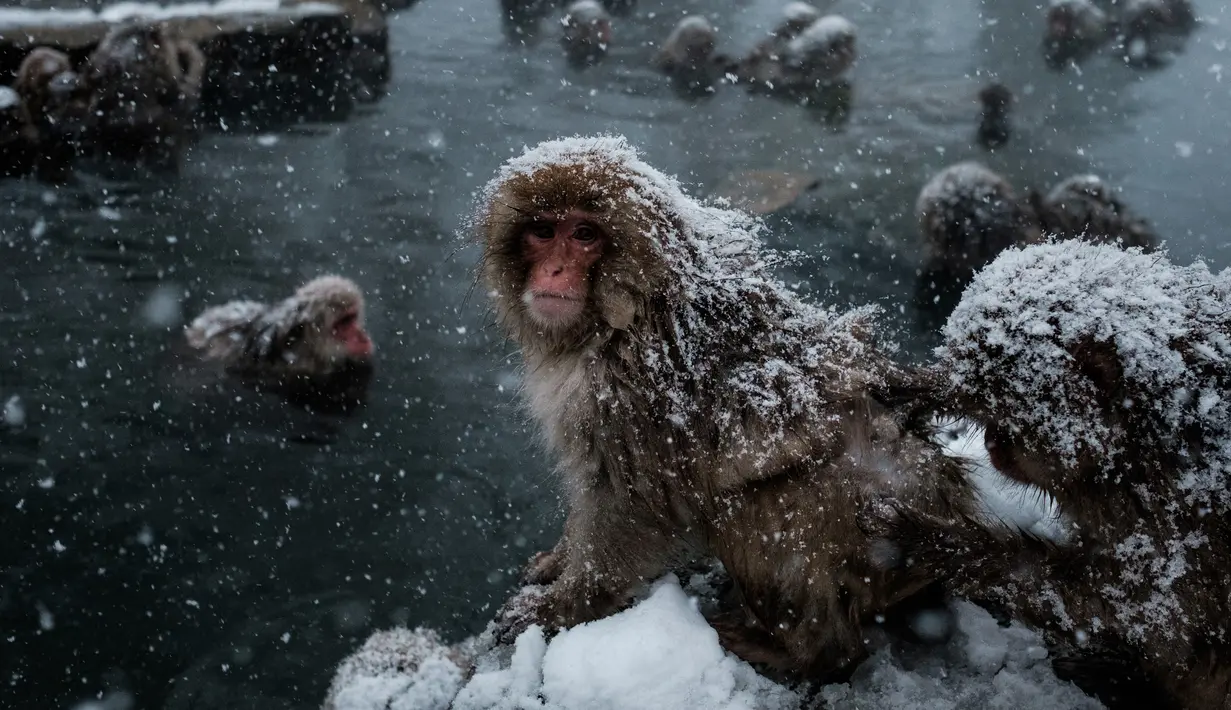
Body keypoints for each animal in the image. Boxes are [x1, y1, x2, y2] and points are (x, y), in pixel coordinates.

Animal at [474, 135, 982, 680]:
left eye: (585, 234)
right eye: (543, 231)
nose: (553, 270)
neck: (627, 314)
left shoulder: (632, 392)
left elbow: (629, 502)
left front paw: (563, 606)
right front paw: (560, 558)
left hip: (871, 530)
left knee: (759, 504)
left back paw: (805, 649)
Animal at [871, 241, 1231, 710]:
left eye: (1017, 421)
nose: (993, 443)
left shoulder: (1175, 525)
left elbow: (1117, 605)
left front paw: (930, 540)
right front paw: (920, 386)